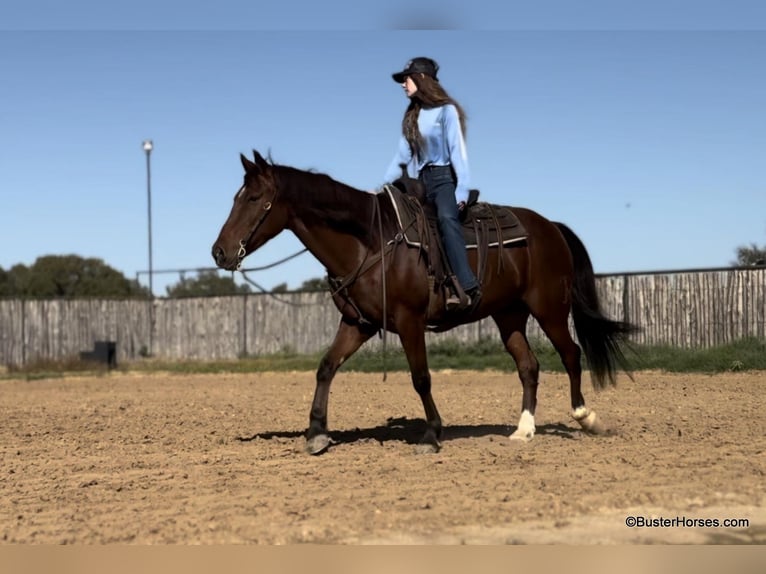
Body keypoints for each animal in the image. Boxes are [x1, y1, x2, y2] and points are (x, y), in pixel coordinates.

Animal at [212, 151, 636, 456]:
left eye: (254, 198)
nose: (219, 252)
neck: (371, 240)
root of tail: (551, 227)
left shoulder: (410, 321)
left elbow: (421, 377)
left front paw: (432, 434)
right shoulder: (359, 324)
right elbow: (326, 367)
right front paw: (316, 433)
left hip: (549, 309)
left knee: (571, 353)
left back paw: (586, 417)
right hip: (509, 315)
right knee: (528, 366)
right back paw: (523, 430)